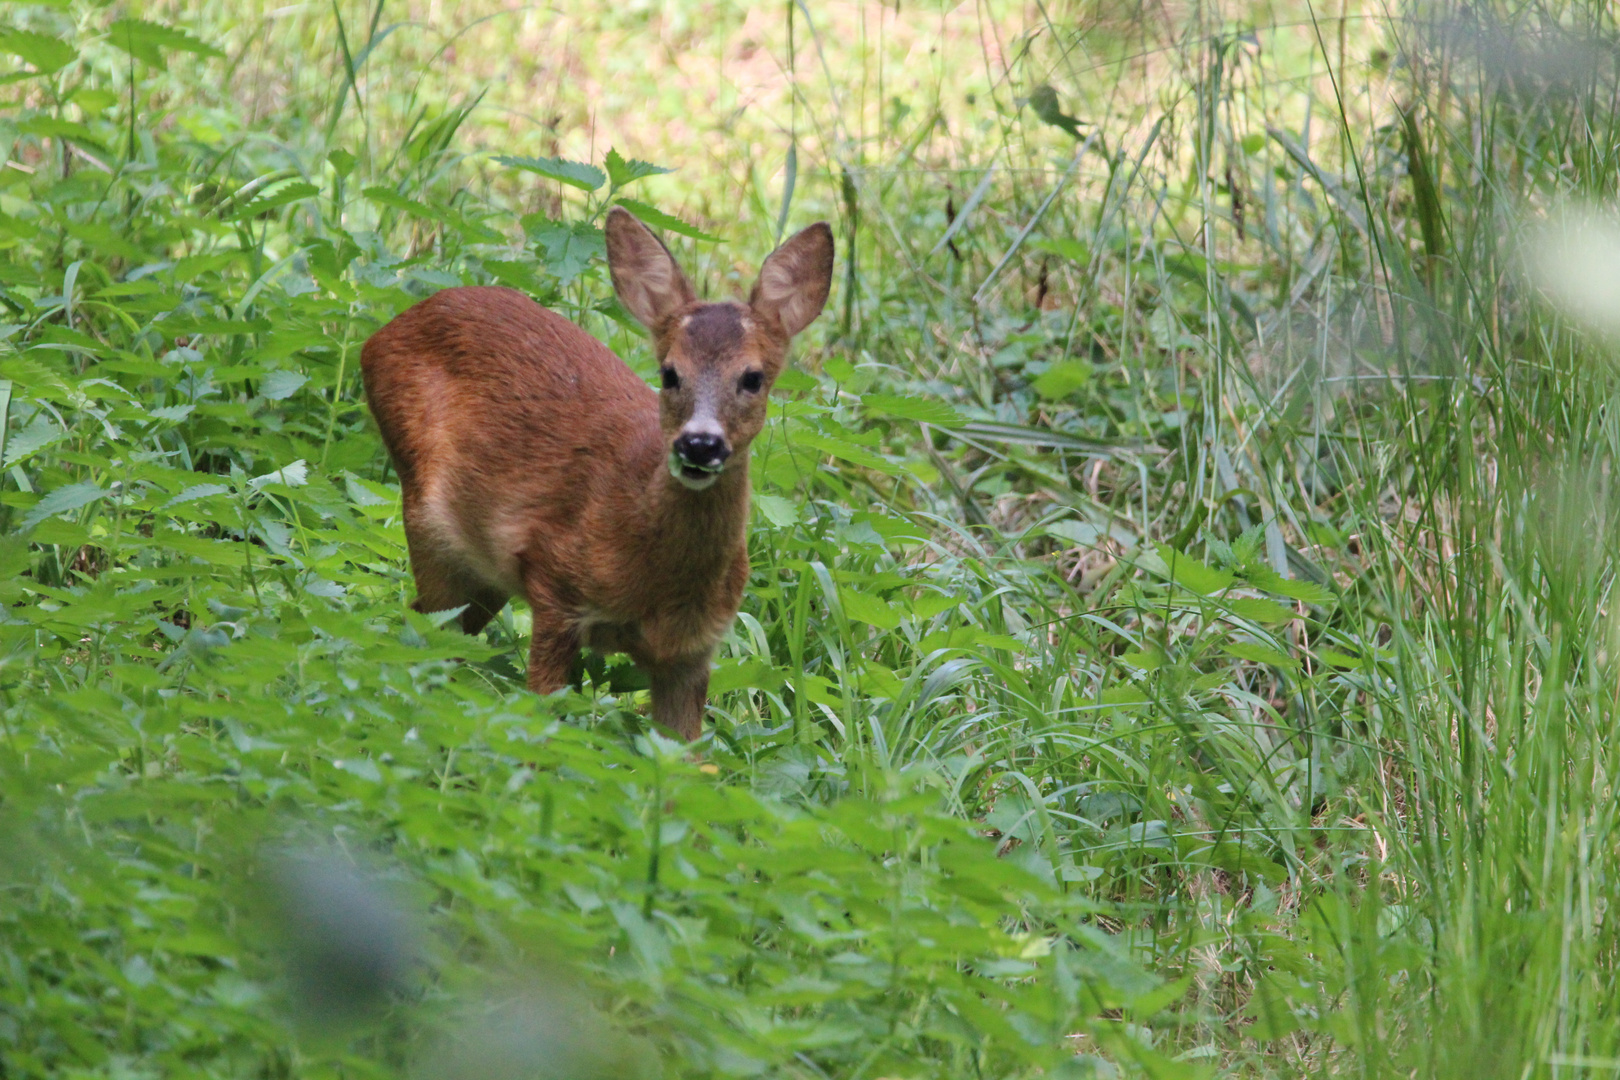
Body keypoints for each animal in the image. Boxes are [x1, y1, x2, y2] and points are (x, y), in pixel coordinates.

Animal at [358, 207, 835, 738]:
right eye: (669, 373)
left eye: (753, 378)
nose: (700, 443)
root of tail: (377, 338)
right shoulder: (552, 581)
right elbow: (543, 714)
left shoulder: (692, 652)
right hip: (429, 521)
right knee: (426, 633)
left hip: (482, 575)